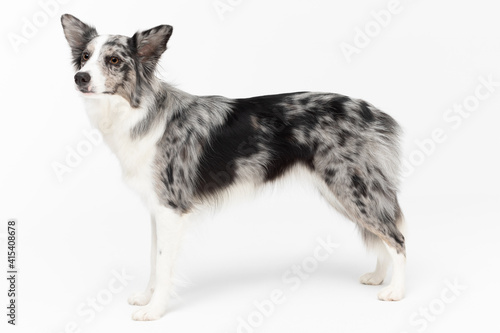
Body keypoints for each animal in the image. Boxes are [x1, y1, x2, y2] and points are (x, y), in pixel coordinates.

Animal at [61, 14, 406, 320]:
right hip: (345, 192)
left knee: (396, 237)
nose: (80, 78)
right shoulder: (157, 209)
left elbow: (163, 264)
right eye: (85, 57)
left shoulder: (171, 207)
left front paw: (154, 311)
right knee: (382, 234)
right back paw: (378, 276)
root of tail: (372, 110)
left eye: (114, 60)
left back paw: (396, 291)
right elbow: (153, 261)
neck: (137, 112)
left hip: (351, 187)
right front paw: (147, 297)